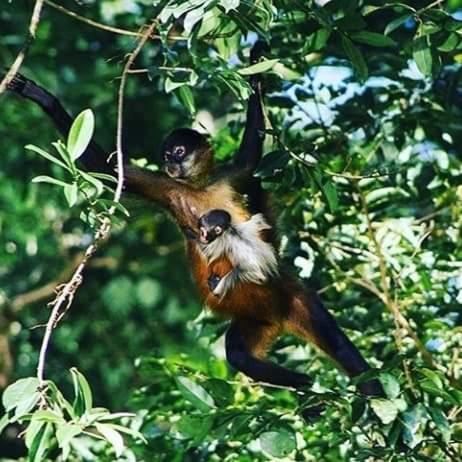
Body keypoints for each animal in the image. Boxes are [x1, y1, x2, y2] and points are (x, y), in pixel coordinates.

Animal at [3, 43, 382, 396]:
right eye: (166, 156)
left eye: (179, 151)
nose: (171, 162)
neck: (199, 187)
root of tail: (278, 317)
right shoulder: (168, 188)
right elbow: (110, 171)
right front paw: (43, 97)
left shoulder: (229, 177)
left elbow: (252, 154)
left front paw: (256, 67)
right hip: (252, 319)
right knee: (240, 355)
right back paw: (306, 386)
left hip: (295, 297)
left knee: (338, 344)